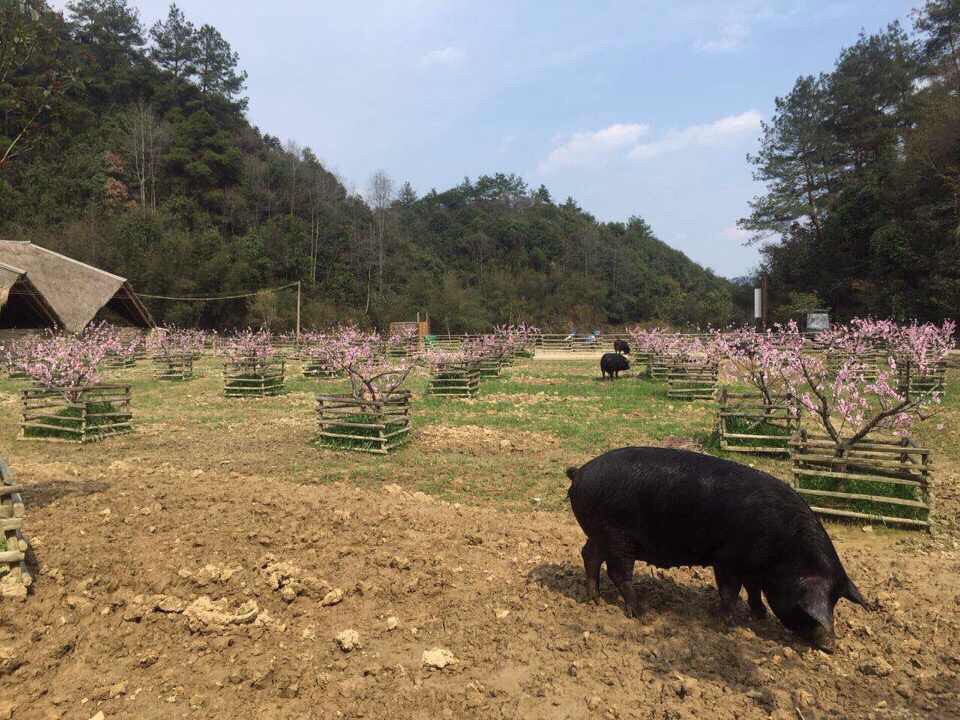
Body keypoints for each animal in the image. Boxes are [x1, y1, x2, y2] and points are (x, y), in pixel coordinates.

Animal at [568, 448, 868, 648]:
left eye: (836, 600)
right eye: (810, 607)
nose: (831, 646)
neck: (784, 552)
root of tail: (579, 472)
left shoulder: (751, 565)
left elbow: (753, 589)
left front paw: (760, 615)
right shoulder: (727, 558)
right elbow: (730, 592)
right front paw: (727, 625)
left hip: (600, 533)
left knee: (589, 555)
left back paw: (594, 599)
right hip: (619, 537)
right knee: (619, 573)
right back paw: (643, 613)